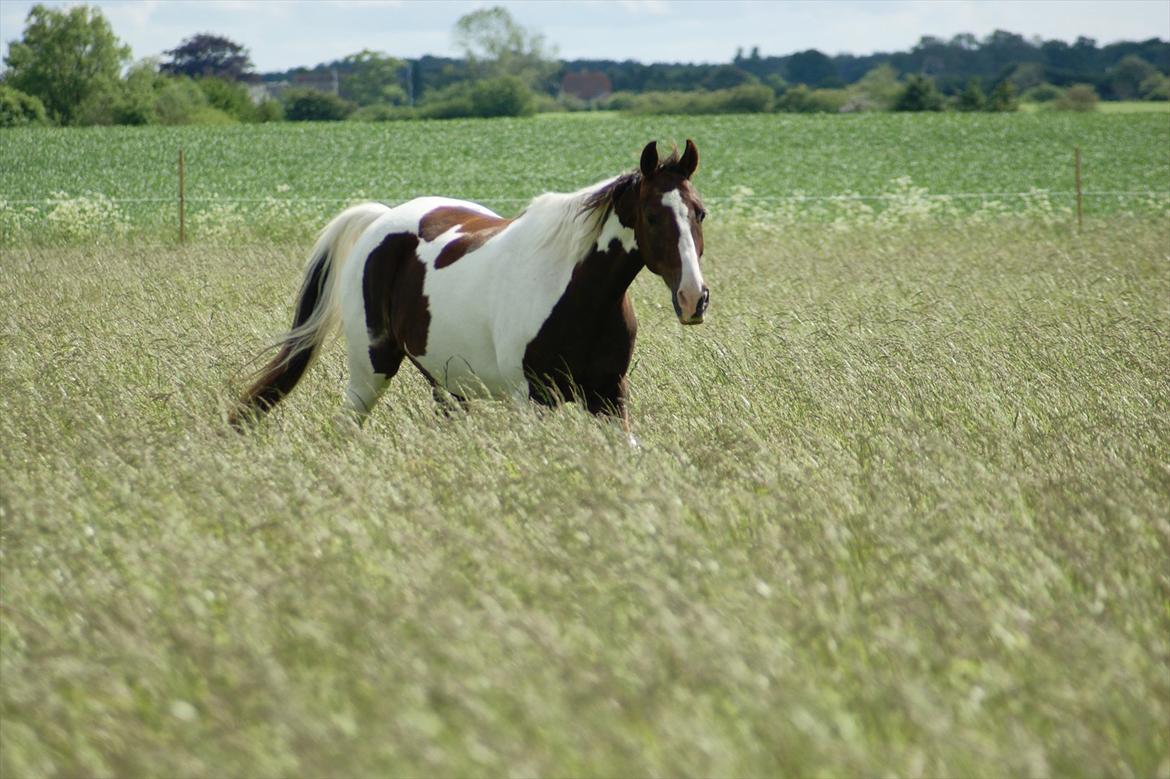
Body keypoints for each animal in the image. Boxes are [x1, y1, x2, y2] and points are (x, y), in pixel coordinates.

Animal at [226, 139, 702, 430]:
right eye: (652, 217)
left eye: (700, 212)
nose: (693, 298)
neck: (577, 295)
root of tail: (383, 217)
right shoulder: (532, 399)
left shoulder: (609, 396)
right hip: (370, 368)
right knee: (347, 422)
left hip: (446, 382)